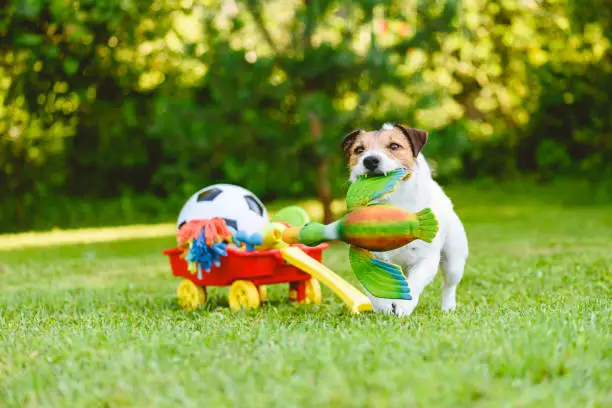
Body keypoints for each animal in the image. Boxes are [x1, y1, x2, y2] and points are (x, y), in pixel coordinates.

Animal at [340, 122, 468, 318]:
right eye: (359, 149)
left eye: (394, 146)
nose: (370, 160)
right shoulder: (364, 258)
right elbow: (373, 289)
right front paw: (383, 307)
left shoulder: (425, 259)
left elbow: (413, 285)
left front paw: (403, 307)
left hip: (453, 260)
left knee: (448, 286)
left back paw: (448, 307)